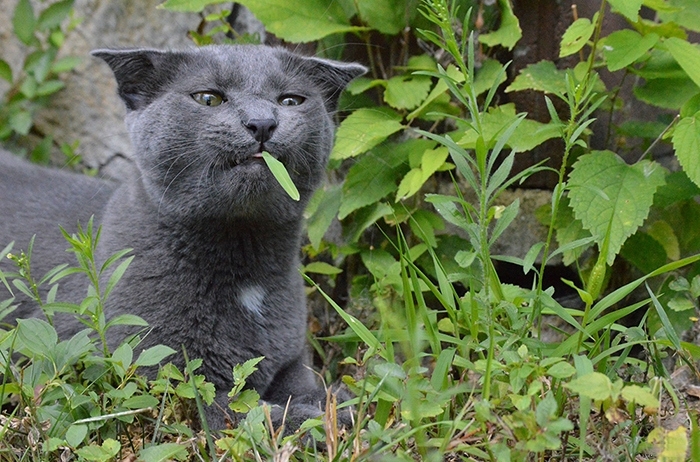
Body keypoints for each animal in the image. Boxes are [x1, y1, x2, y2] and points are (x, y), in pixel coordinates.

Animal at [0, 45, 370, 432]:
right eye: (208, 98)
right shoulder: (168, 374)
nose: (262, 123)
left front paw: (338, 401)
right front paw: (320, 419)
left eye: (290, 100)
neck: (243, 262)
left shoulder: (293, 359)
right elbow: (248, 414)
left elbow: (301, 385)